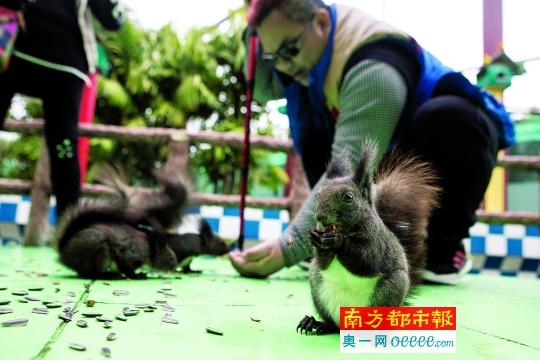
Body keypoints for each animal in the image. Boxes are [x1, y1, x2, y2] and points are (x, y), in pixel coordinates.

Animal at [298, 141, 440, 334]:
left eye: (348, 197)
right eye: (318, 195)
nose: (320, 216)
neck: (345, 230)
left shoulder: (378, 244)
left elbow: (367, 260)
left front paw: (338, 242)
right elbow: (323, 262)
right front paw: (316, 239)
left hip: (390, 289)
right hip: (317, 286)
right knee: (334, 325)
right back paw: (317, 324)